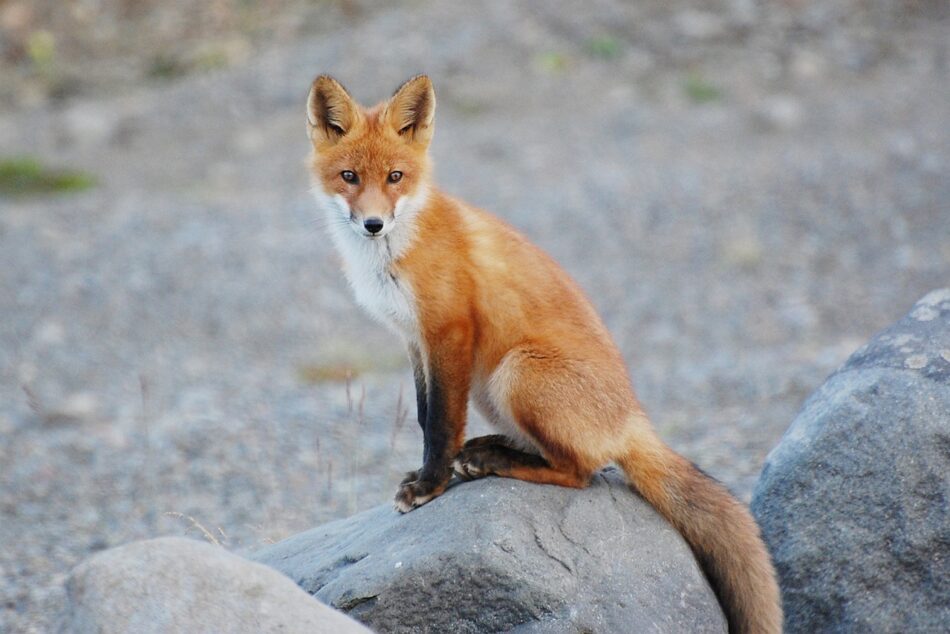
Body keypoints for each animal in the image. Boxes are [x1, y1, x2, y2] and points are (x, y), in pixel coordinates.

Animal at [308, 75, 784, 632]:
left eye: (395, 177)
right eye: (349, 177)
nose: (373, 224)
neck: (394, 254)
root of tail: (632, 417)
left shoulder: (449, 331)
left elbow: (442, 423)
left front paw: (429, 485)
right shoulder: (414, 340)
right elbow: (426, 417)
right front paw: (429, 474)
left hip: (516, 373)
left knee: (581, 472)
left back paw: (495, 460)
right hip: (492, 388)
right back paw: (489, 450)